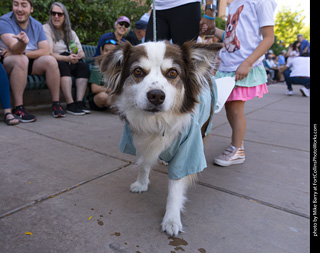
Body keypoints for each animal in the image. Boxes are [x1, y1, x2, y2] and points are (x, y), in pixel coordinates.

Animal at [97, 40, 221, 236]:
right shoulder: (139, 140)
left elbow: (175, 188)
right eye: (137, 71)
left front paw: (171, 219)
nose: (156, 95)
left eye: (173, 73)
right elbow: (144, 164)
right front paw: (141, 183)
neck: (157, 122)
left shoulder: (187, 151)